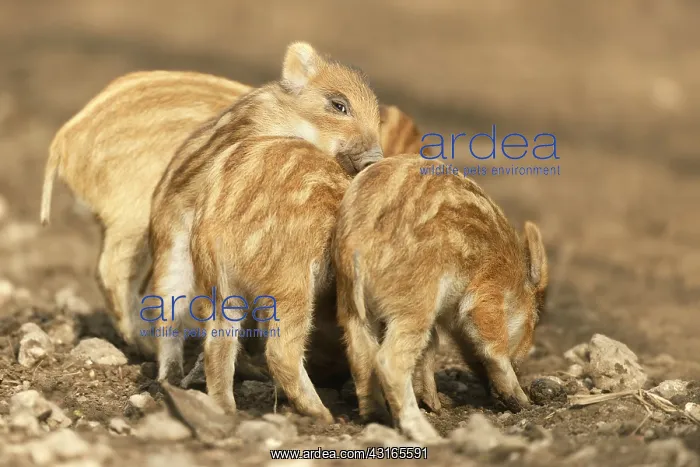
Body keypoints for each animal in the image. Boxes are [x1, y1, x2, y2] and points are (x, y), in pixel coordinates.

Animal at [331, 155, 549, 442]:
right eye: (533, 322)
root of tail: (357, 244)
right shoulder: (485, 294)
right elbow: (492, 345)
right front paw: (523, 402)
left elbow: (432, 345)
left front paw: (437, 405)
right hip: (414, 302)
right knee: (389, 360)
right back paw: (426, 433)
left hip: (352, 307)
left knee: (360, 355)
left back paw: (377, 416)